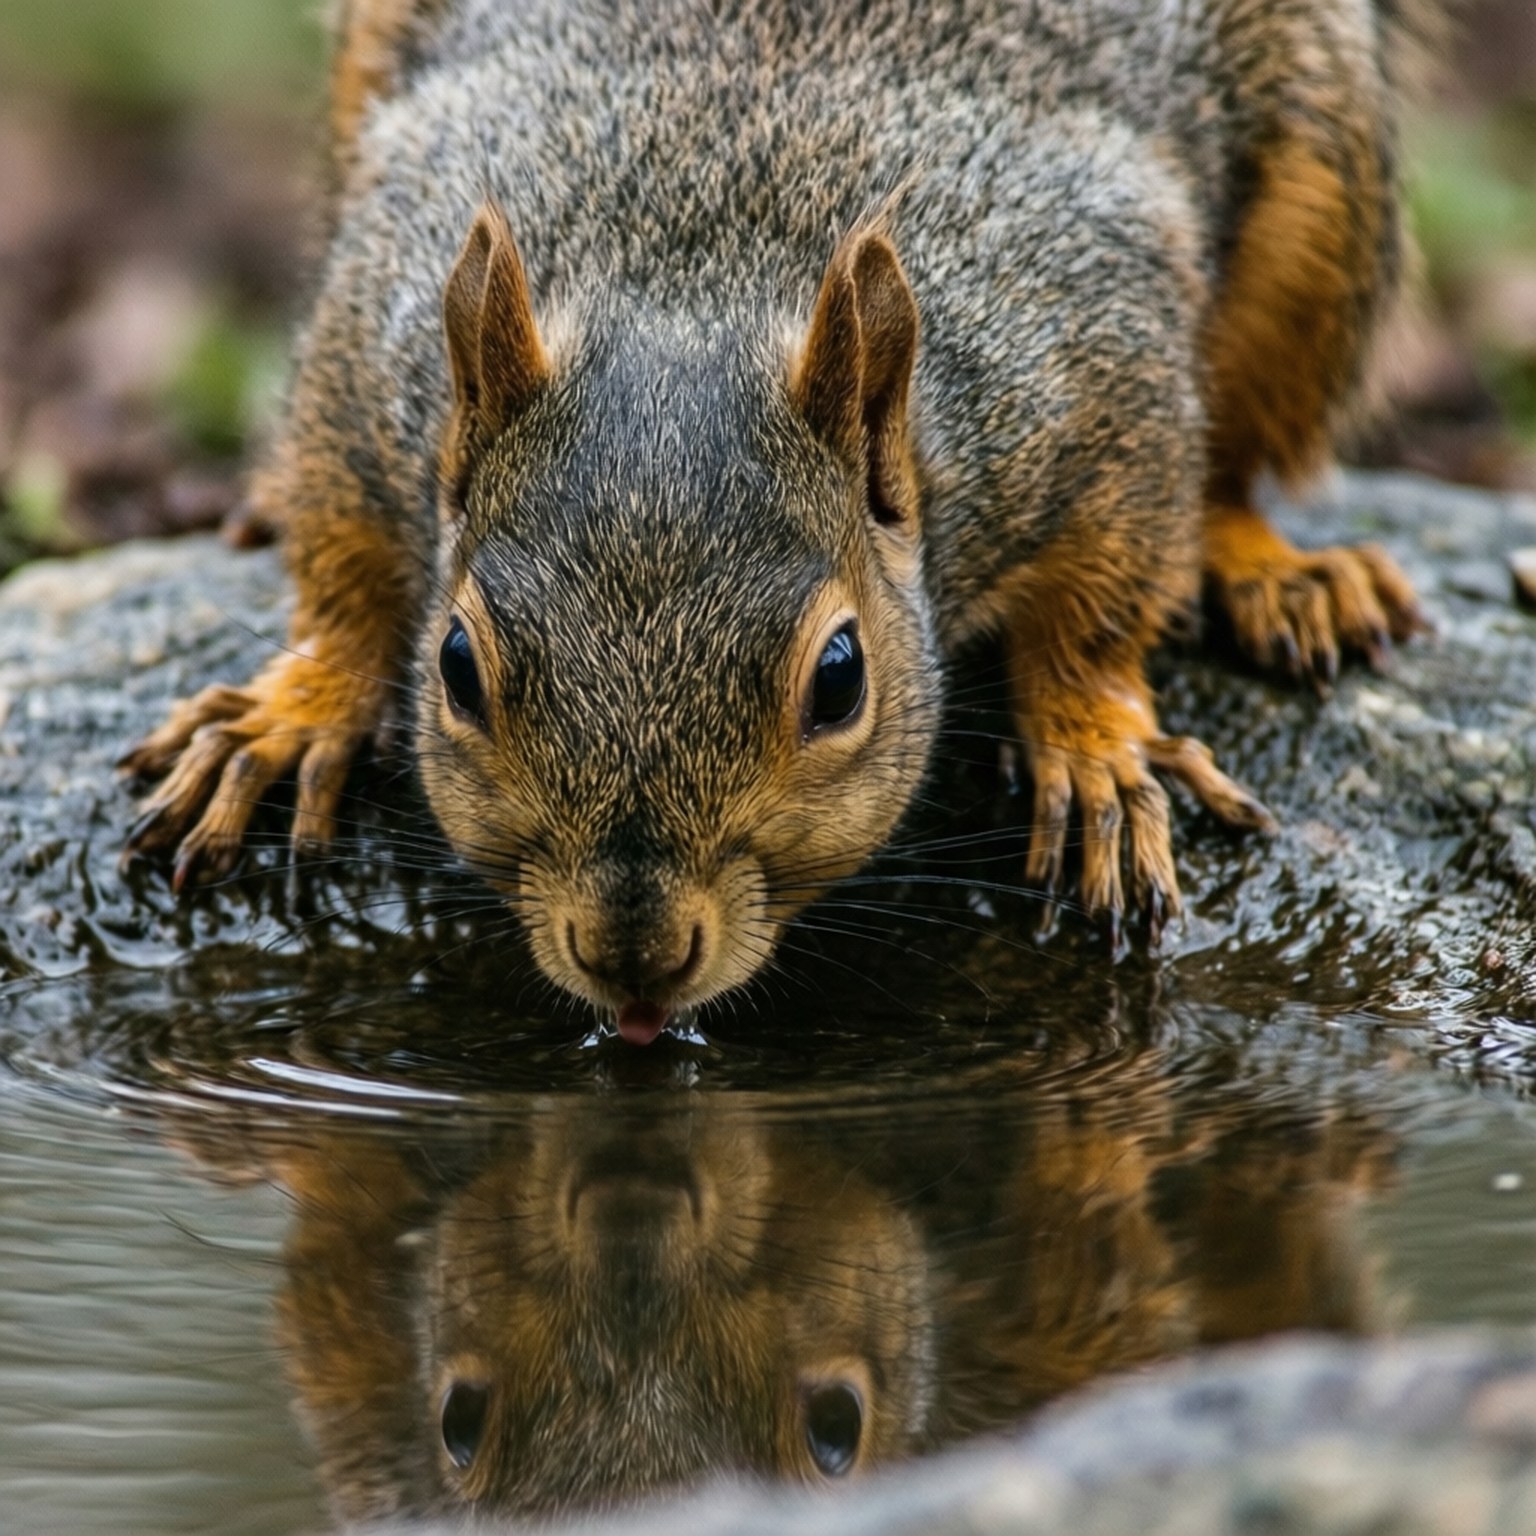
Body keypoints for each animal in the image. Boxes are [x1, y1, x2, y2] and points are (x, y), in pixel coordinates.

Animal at [122, 0, 1439, 1043]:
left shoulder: (1096, 372)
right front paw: (292, 710)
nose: (636, 959)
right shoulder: (369, 361)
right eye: (455, 667)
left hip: (1322, 192)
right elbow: (342, 556)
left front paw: (1097, 748)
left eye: (840, 681)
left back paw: (1278, 573)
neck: (694, 267)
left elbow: (1111, 590)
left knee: (1243, 462)